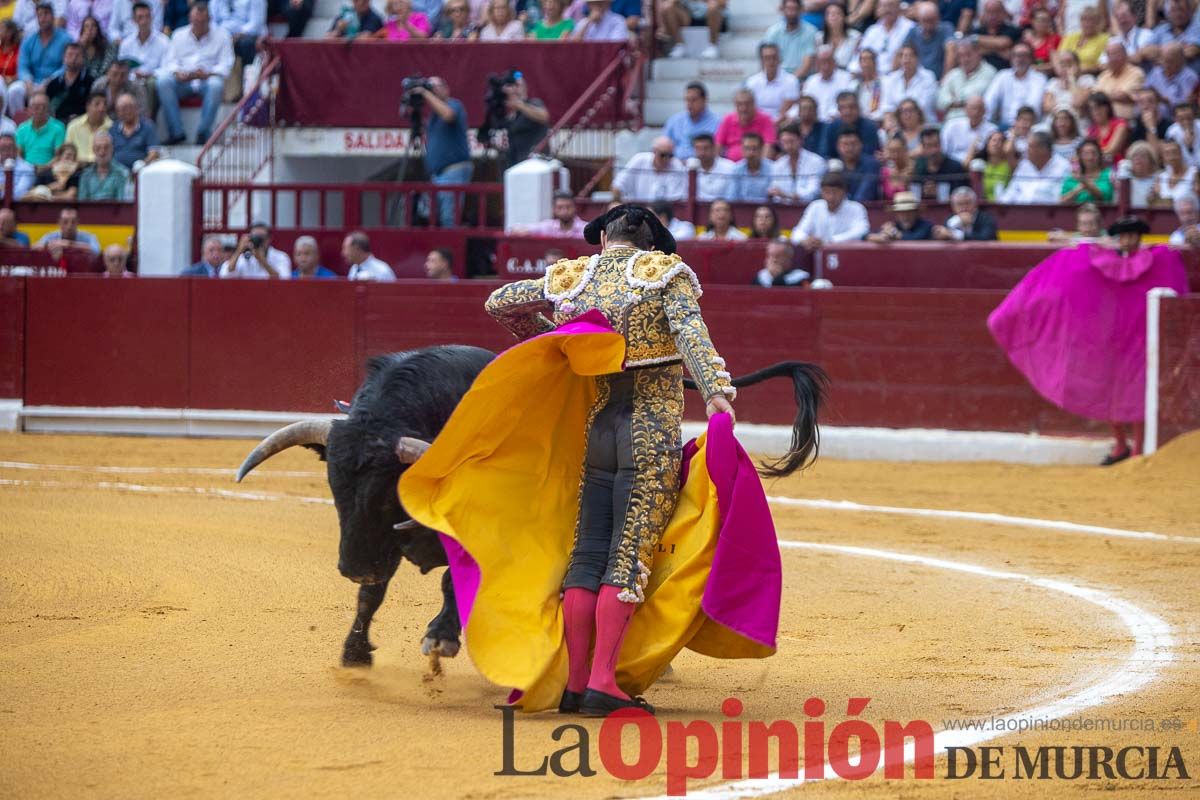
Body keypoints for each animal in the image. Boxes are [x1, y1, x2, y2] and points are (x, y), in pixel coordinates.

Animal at [238, 347, 830, 666]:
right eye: (334, 486)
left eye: (387, 490)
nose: (351, 565)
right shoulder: (381, 541)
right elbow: (374, 593)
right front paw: (355, 653)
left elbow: (452, 580)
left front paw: (441, 638)